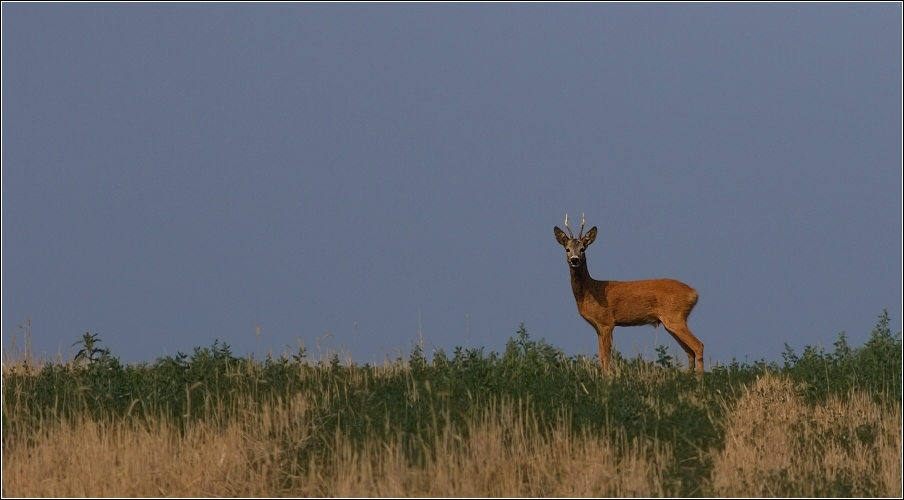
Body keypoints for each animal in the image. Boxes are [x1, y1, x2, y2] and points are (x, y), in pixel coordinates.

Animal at [552, 213, 708, 374]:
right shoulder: (598, 327)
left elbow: (606, 356)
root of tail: (694, 293)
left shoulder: (607, 322)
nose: (574, 260)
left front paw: (608, 377)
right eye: (567, 249)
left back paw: (700, 378)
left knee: (698, 345)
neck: (591, 292)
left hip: (675, 316)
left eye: (582, 249)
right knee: (689, 351)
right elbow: (601, 355)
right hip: (674, 321)